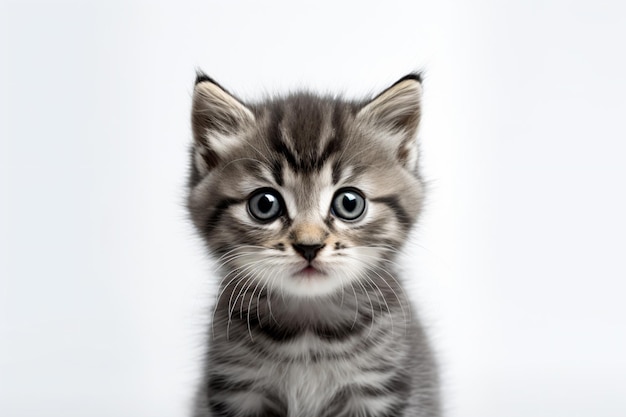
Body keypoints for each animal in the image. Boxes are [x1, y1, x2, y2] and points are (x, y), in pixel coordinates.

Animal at [186, 72, 438, 416]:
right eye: (264, 204)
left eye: (349, 203)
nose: (309, 246)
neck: (308, 331)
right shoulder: (238, 389)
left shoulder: (378, 390)